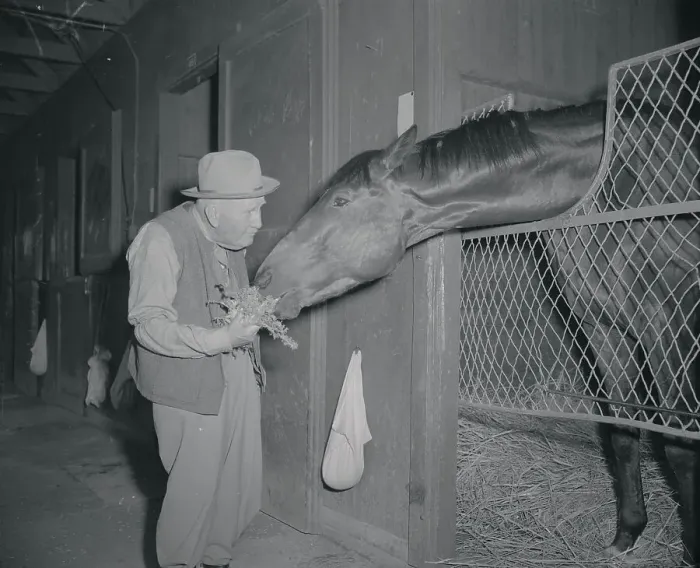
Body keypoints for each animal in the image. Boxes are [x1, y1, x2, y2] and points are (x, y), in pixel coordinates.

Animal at [253, 98, 700, 565]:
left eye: (340, 200)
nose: (262, 277)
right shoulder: (604, 328)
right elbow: (622, 433)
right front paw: (626, 535)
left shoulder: (669, 323)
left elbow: (680, 446)